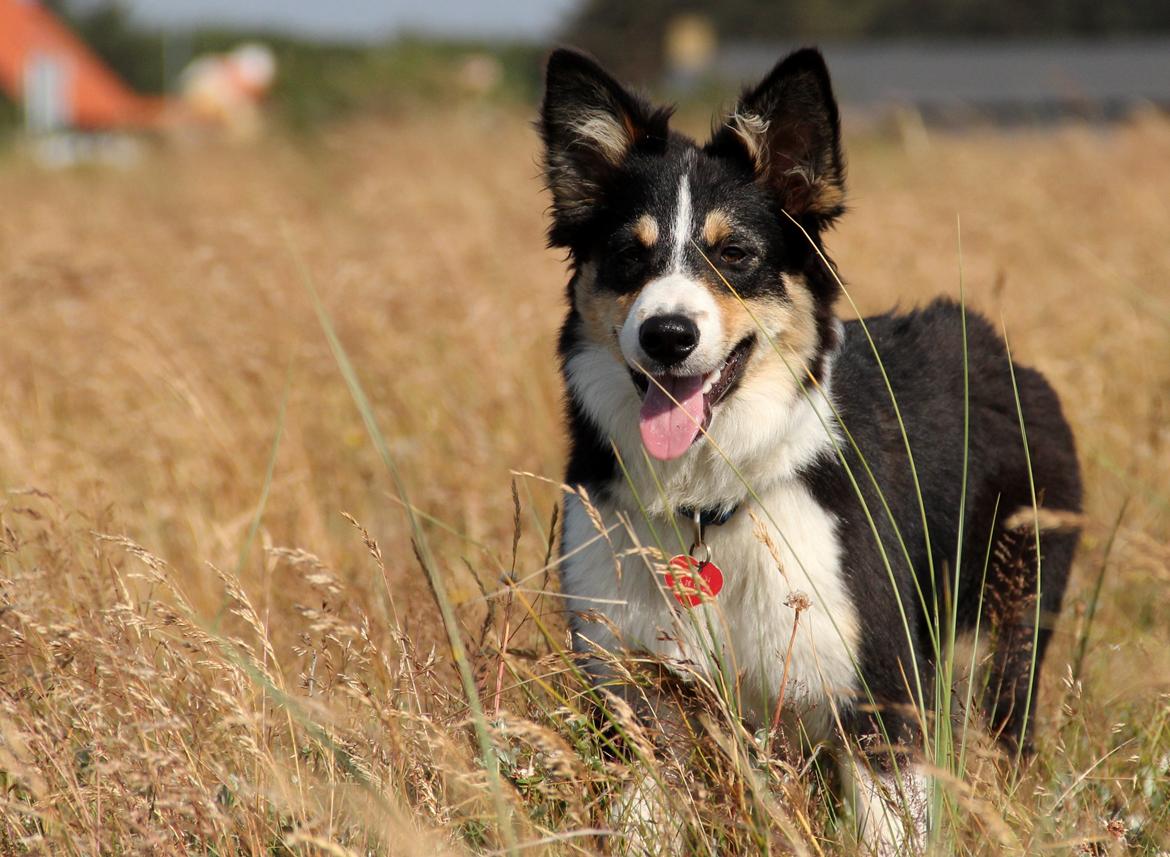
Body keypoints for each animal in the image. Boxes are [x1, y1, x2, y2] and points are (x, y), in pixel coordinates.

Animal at [538, 48, 1076, 857]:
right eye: (628, 256)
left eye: (736, 253)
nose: (668, 335)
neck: (708, 502)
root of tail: (1002, 352)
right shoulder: (635, 696)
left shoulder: (880, 698)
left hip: (1009, 623)